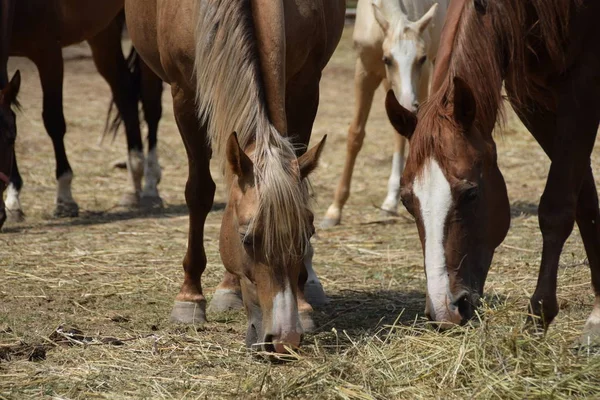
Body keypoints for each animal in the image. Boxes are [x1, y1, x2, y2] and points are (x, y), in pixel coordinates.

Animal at [5, 0, 164, 222]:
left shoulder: (48, 51)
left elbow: (54, 122)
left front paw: (65, 198)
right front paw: (13, 200)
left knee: (151, 104)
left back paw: (150, 185)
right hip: (103, 32)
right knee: (125, 92)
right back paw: (132, 187)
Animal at [124, 0, 344, 354]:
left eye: (308, 233)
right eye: (246, 239)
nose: (283, 339)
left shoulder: (306, 84)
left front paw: (303, 304)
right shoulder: (184, 95)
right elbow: (199, 192)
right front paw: (190, 298)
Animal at [324, 0, 446, 227]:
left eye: (421, 58)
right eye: (387, 59)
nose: (409, 104)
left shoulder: (424, 71)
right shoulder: (364, 70)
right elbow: (355, 134)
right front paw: (334, 210)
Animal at [384, 0, 600, 344]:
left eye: (471, 193)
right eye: (406, 201)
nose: (446, 311)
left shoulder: (583, 87)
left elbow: (556, 208)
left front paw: (538, 316)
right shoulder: (533, 101)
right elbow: (584, 203)